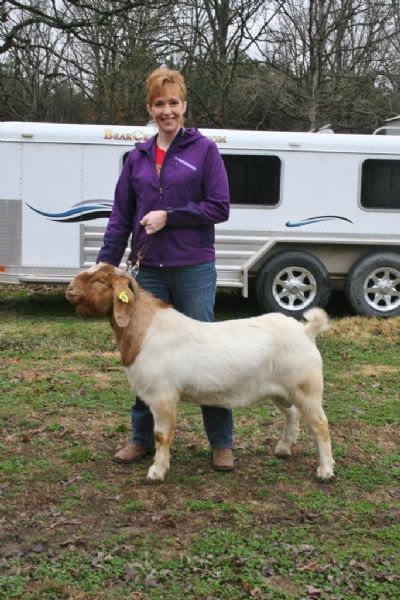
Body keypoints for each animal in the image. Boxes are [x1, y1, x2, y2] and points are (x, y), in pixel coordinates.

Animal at [66, 262, 334, 482]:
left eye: (100, 280)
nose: (69, 289)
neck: (147, 330)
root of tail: (306, 331)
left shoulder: (163, 397)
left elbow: (161, 435)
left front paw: (156, 472)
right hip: (279, 391)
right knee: (292, 415)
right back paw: (283, 449)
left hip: (306, 389)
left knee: (320, 425)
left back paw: (325, 471)